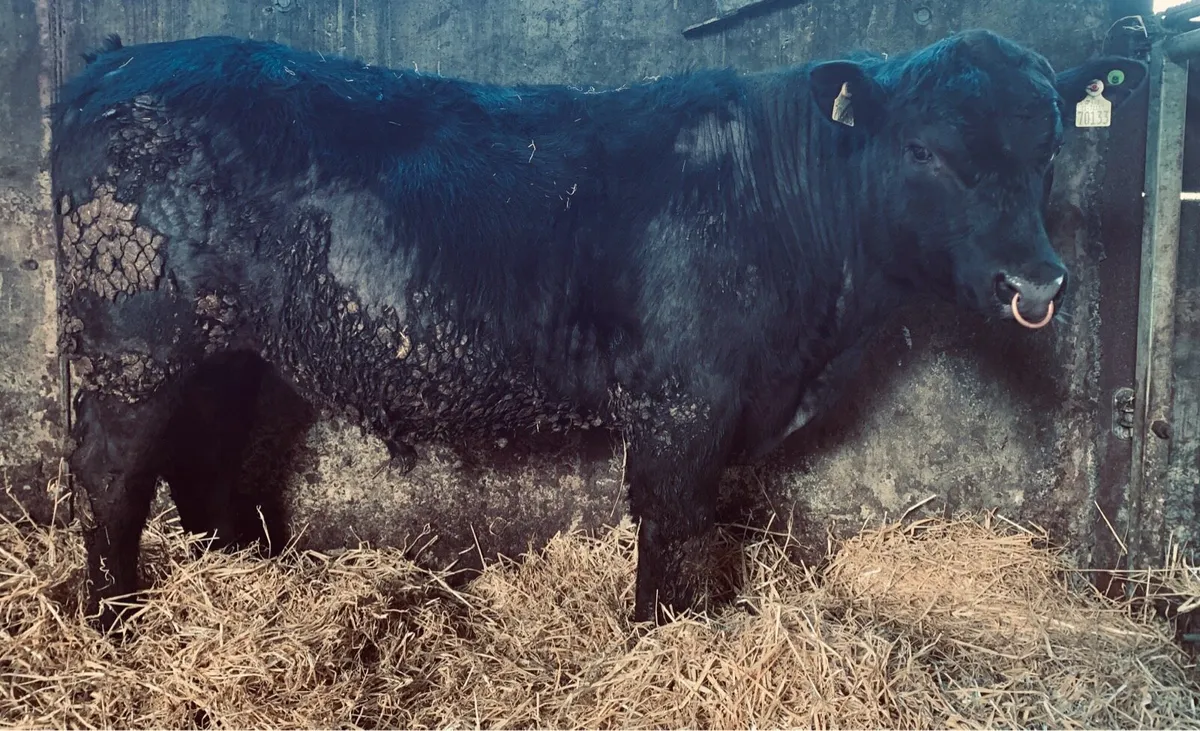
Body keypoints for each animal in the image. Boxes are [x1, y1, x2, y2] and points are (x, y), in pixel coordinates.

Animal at [50, 29, 1145, 633]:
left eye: (1049, 147)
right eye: (926, 149)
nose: (1035, 278)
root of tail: (116, 62)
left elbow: (703, 520)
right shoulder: (684, 399)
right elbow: (669, 517)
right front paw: (660, 633)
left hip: (225, 350)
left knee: (203, 461)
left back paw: (232, 578)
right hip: (131, 341)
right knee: (110, 471)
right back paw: (115, 617)